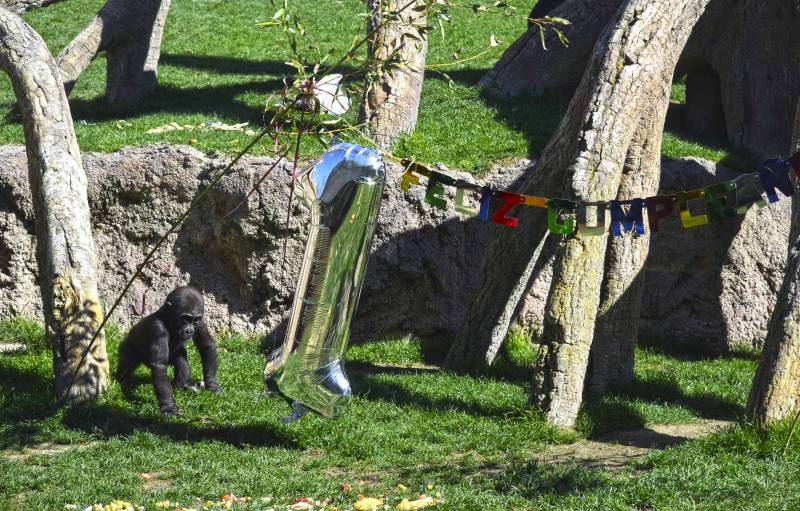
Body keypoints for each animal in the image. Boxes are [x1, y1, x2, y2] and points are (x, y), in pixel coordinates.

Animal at [116, 288, 222, 416]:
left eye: (195, 320)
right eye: (185, 318)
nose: (189, 331)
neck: (168, 319)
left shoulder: (201, 323)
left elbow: (207, 346)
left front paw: (211, 385)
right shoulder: (157, 328)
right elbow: (159, 366)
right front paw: (169, 406)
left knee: (181, 360)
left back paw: (181, 387)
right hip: (128, 347)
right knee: (126, 365)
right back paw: (122, 380)